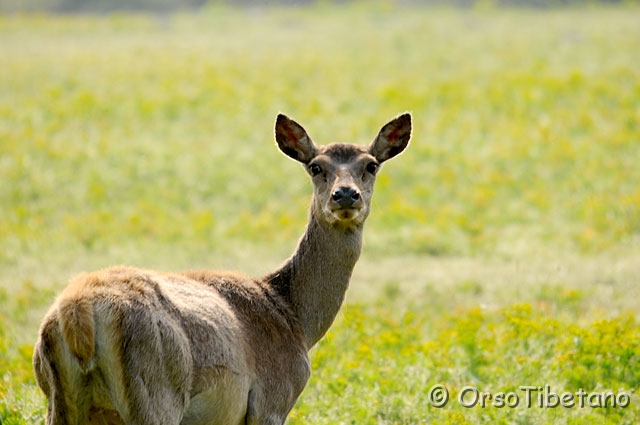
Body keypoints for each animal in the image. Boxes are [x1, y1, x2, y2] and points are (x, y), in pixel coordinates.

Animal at [33, 112, 410, 424]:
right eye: (316, 167)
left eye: (371, 165)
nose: (345, 195)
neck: (296, 320)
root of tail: (78, 314)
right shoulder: (271, 400)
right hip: (153, 392)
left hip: (59, 398)